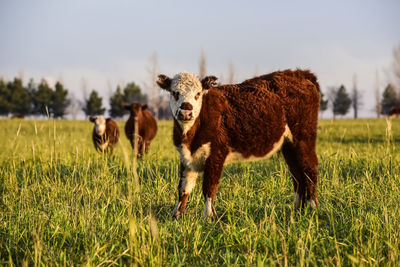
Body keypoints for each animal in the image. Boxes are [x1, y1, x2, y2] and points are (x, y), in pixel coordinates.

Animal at [157, 69, 322, 220]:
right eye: (174, 93)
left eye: (198, 93)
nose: (186, 112)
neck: (190, 137)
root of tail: (298, 73)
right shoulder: (187, 158)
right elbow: (184, 188)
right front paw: (176, 216)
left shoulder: (216, 154)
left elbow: (209, 187)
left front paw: (208, 217)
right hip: (289, 146)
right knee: (297, 175)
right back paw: (297, 211)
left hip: (304, 138)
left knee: (310, 169)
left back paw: (312, 207)